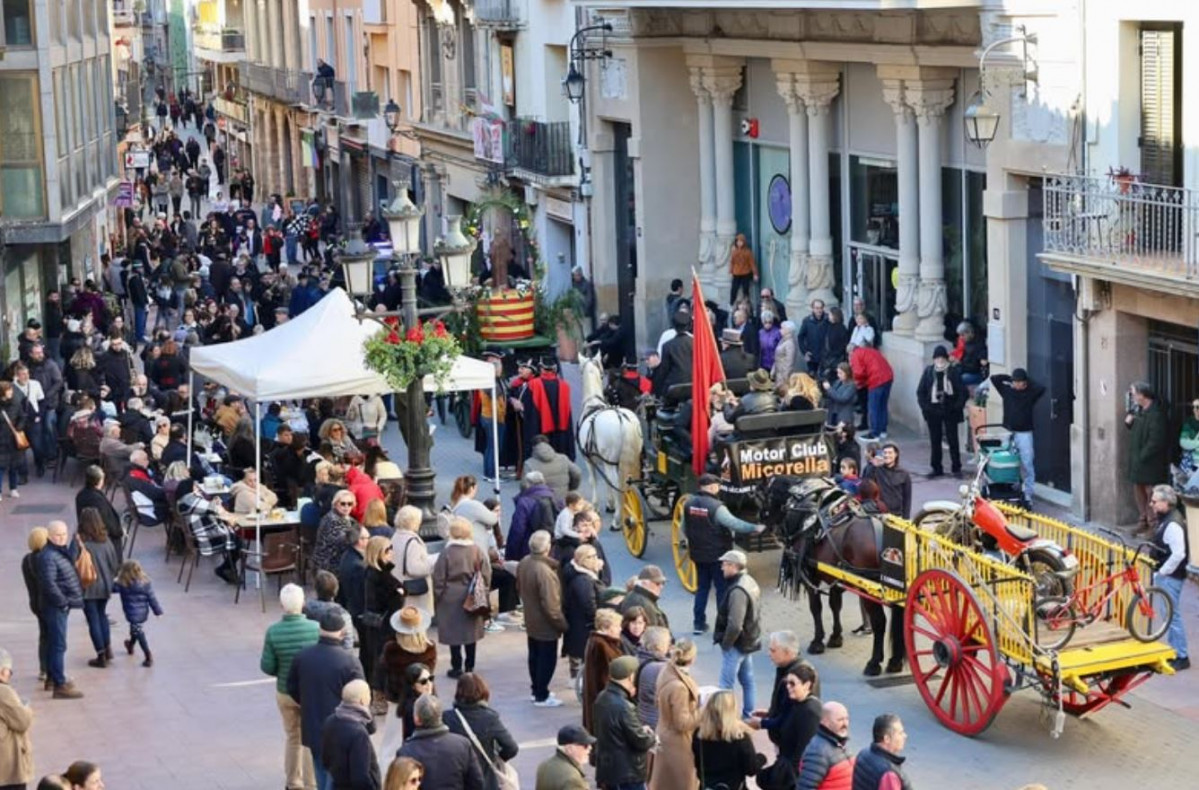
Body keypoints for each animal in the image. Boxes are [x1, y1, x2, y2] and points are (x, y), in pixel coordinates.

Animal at [575, 352, 642, 520]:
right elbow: (606, 483)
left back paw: (618, 519)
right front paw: (611, 504)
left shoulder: (589, 459)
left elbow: (594, 481)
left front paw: (596, 506)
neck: (592, 405)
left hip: (610, 461)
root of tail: (623, 421)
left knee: (617, 483)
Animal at [762, 477, 901, 676]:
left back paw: (874, 662)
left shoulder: (810, 576)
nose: (762, 518)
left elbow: (816, 608)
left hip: (869, 589)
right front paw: (835, 637)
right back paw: (895, 661)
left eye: (766, 494)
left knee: (880, 622)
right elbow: (835, 605)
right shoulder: (835, 578)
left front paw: (817, 641)